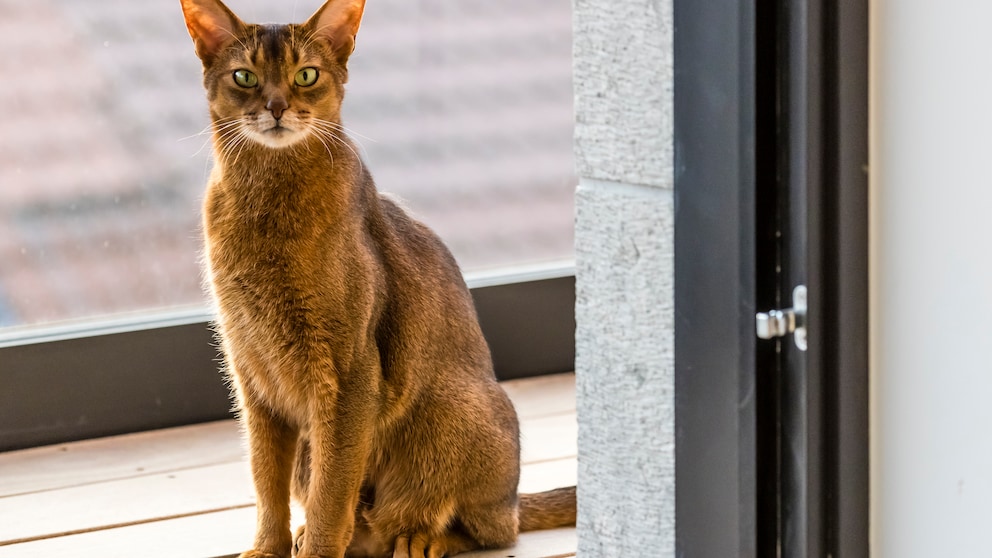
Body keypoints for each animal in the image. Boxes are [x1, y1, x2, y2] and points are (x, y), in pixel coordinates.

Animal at [181, 1, 576, 558]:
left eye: (306, 76)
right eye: (245, 77)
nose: (277, 107)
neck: (265, 204)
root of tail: (514, 496)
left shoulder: (351, 372)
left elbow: (331, 488)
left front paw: (320, 548)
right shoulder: (252, 374)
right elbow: (266, 479)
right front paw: (269, 546)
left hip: (454, 412)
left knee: (491, 529)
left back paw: (422, 538)